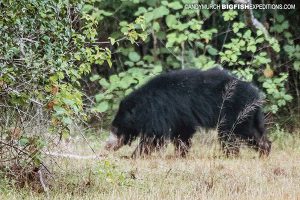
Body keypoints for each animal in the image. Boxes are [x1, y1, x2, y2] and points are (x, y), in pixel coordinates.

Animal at [105, 67, 272, 158]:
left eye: (115, 128)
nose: (106, 145)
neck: (144, 106)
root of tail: (256, 94)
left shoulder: (162, 110)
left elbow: (155, 137)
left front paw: (134, 155)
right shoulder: (179, 116)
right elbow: (182, 133)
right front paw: (181, 154)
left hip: (235, 112)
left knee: (231, 134)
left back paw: (230, 154)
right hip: (248, 115)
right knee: (254, 134)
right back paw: (264, 150)